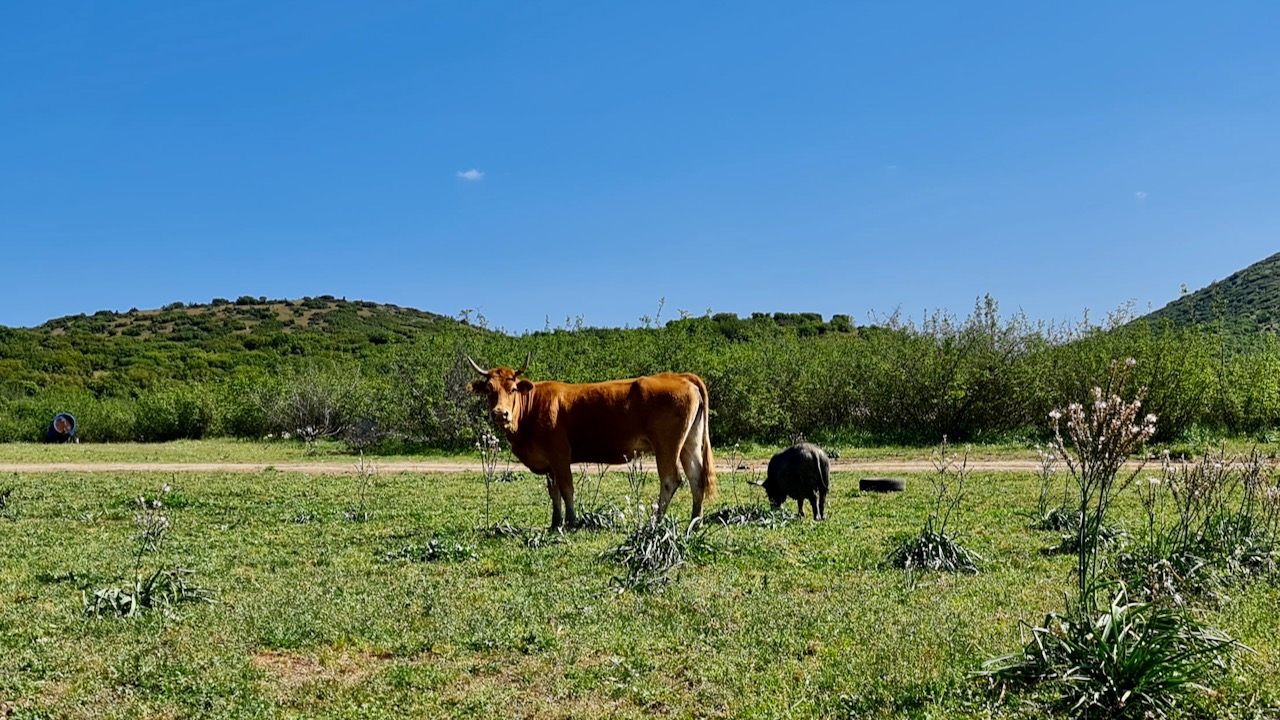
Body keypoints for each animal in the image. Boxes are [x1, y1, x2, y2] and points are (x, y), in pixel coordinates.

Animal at [465, 353, 716, 527]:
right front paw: (555, 523)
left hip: (667, 445)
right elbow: (553, 492)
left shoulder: (560, 455)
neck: (531, 409)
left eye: (513, 388)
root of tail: (680, 376)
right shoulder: (549, 462)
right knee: (696, 478)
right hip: (690, 443)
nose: (500, 414)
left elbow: (567, 489)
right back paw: (695, 521)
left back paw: (655, 521)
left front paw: (571, 521)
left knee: (671, 480)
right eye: (489, 389)